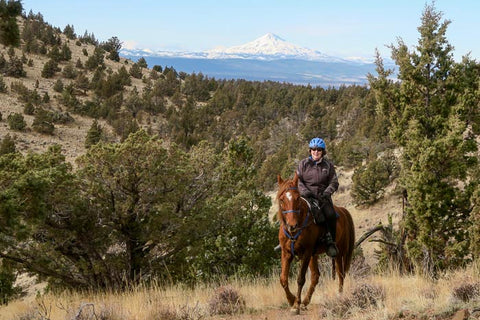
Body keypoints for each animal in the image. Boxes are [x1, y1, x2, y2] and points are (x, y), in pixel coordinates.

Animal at [276, 171, 354, 314]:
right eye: (282, 199)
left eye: (297, 198)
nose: (292, 225)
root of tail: (342, 210)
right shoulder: (286, 252)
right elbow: (283, 278)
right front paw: (291, 300)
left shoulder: (306, 252)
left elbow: (300, 279)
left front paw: (296, 305)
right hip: (314, 255)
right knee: (315, 276)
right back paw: (306, 301)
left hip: (339, 253)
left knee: (340, 274)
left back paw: (339, 296)